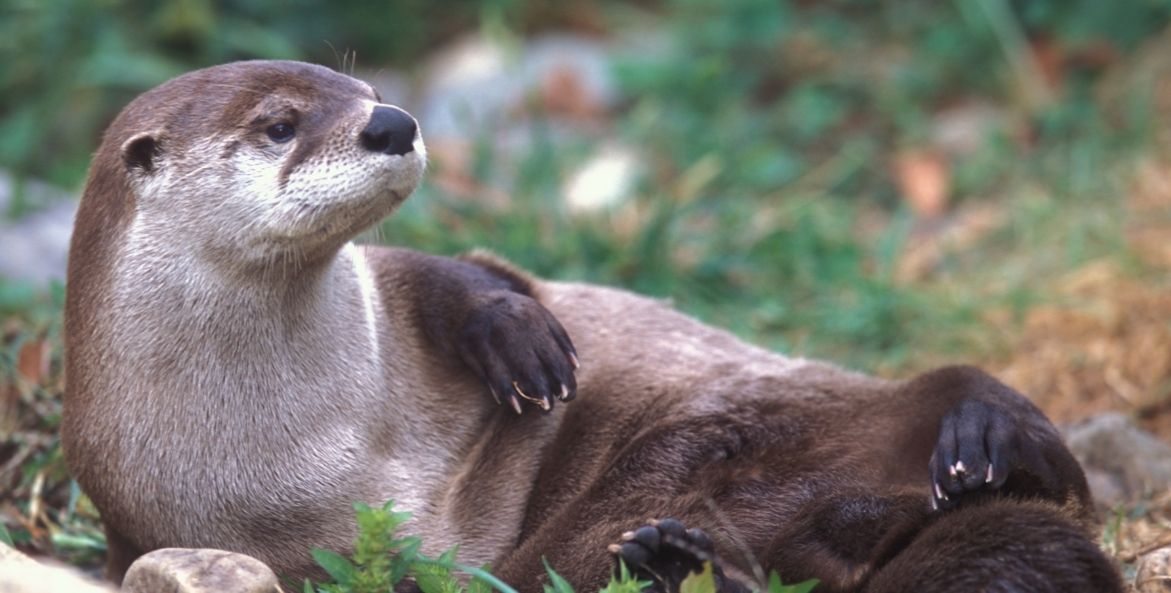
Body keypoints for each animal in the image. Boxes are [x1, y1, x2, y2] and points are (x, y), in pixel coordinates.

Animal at [59, 61, 1119, 593]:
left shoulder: (389, 298)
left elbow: (476, 272)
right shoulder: (174, 522)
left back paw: (985, 433)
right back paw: (678, 562)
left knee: (953, 394)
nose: (394, 122)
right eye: (280, 124)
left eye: (363, 90)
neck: (320, 439)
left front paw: (518, 339)